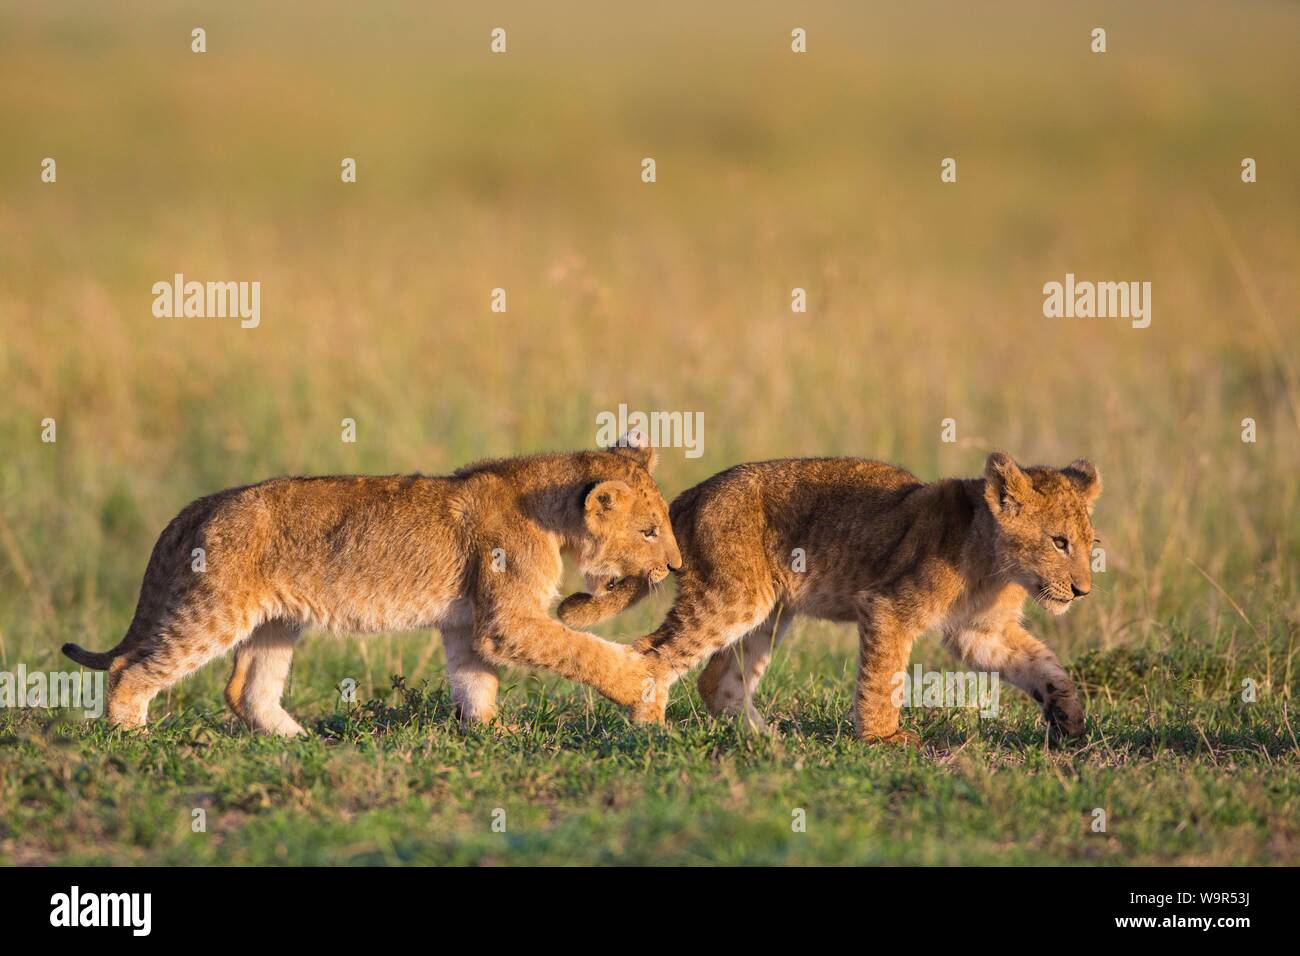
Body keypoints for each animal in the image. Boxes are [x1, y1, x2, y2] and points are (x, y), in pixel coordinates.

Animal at [63, 441, 680, 735]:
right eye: (649, 530)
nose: (675, 566)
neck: (553, 515)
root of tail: (205, 502)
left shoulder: (469, 623)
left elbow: (475, 681)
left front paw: (492, 732)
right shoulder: (509, 620)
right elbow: (584, 652)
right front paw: (645, 688)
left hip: (275, 621)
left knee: (246, 690)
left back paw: (299, 742)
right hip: (212, 611)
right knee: (132, 669)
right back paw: (133, 738)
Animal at [558, 452, 1101, 743]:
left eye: (1088, 542)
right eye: (1059, 542)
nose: (1083, 591)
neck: (998, 567)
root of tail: (687, 497)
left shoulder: (981, 632)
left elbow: (1044, 668)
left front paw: (1070, 721)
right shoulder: (889, 607)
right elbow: (883, 677)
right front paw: (883, 738)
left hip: (767, 610)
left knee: (718, 680)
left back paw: (765, 739)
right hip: (733, 597)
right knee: (652, 652)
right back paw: (651, 726)